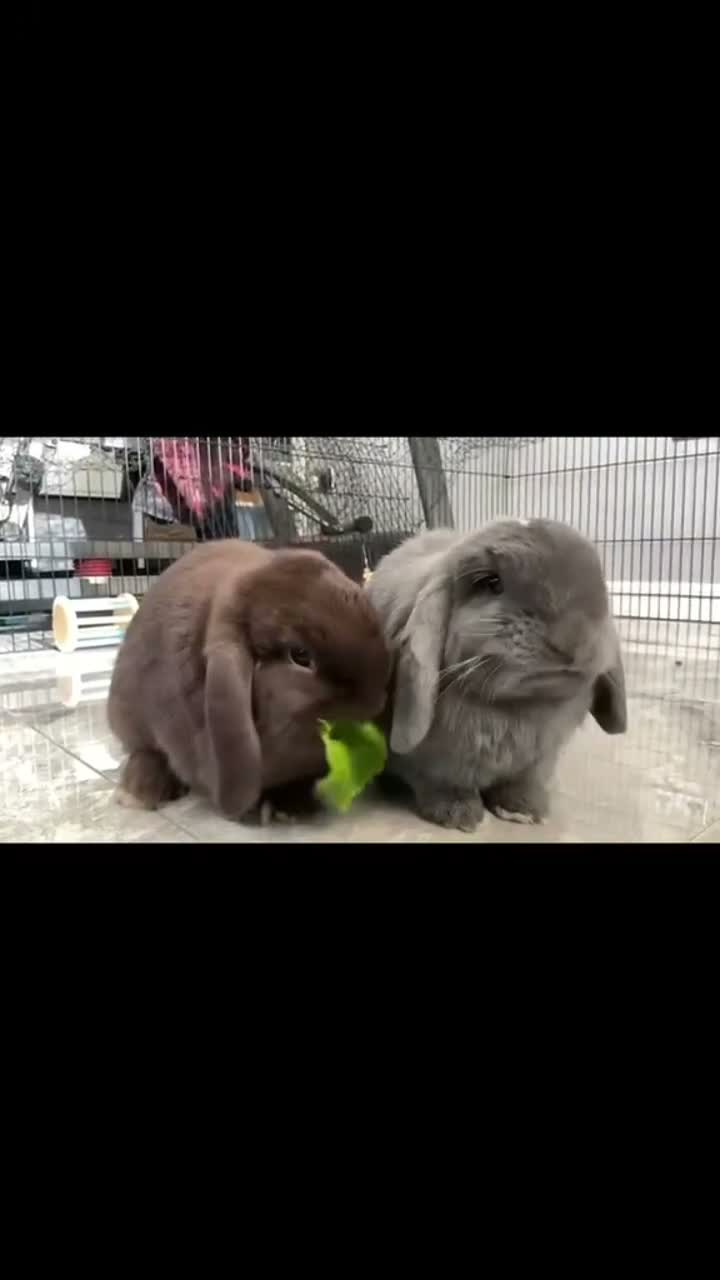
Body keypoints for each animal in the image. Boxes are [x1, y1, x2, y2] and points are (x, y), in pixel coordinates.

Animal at [366, 519, 627, 831]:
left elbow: (521, 783)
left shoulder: (538, 761)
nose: (573, 639)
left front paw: (524, 810)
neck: (515, 707)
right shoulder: (429, 763)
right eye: (491, 582)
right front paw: (459, 814)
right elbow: (439, 782)